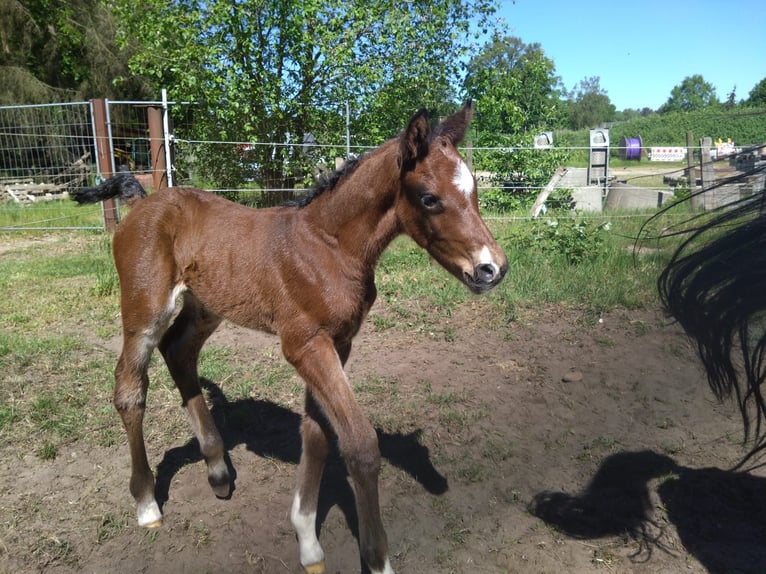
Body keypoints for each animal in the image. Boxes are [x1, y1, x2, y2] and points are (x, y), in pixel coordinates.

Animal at [75, 101, 510, 572]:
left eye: (474, 191)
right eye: (429, 198)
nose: (492, 268)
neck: (329, 247)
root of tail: (142, 201)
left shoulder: (338, 343)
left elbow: (317, 433)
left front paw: (307, 539)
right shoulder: (304, 344)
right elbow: (359, 443)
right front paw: (377, 559)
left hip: (206, 306)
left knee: (179, 352)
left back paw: (218, 470)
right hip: (145, 309)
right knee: (129, 389)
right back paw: (146, 503)